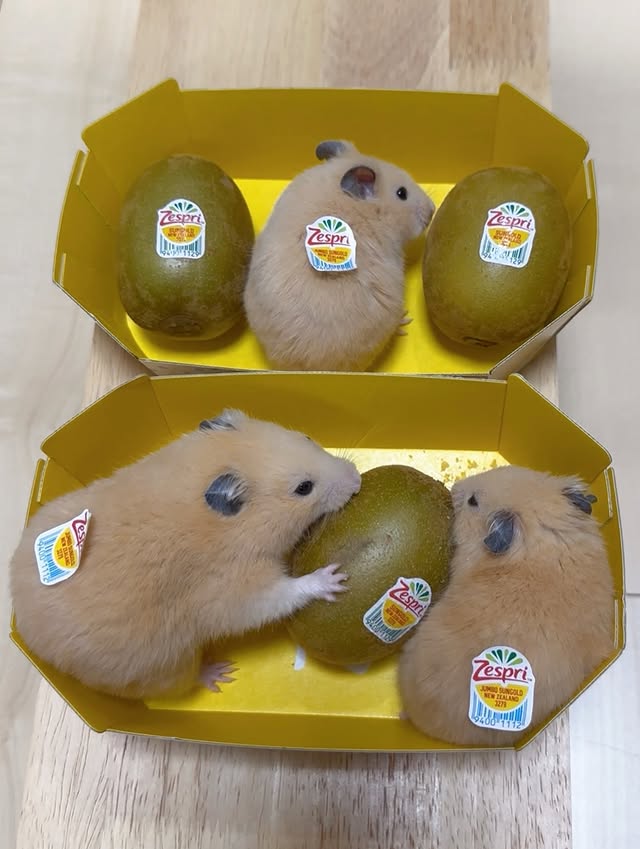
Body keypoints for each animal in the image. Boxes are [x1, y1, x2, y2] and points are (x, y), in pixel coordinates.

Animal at [10, 409, 361, 700]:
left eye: (307, 437)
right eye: (304, 488)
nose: (357, 477)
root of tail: (24, 630)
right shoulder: (234, 587)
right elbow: (281, 594)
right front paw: (332, 579)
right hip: (165, 666)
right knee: (185, 682)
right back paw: (220, 673)